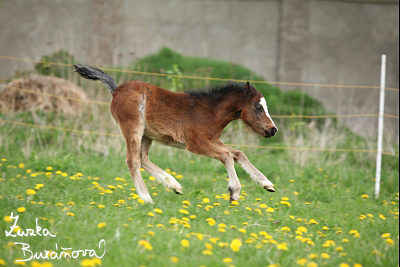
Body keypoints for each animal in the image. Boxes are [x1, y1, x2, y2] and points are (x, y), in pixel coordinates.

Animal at [73, 65, 276, 203]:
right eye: (258, 107)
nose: (273, 130)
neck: (210, 111)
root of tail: (116, 89)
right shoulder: (196, 143)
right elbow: (227, 156)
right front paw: (234, 192)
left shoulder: (213, 140)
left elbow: (238, 153)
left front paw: (266, 183)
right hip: (133, 127)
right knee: (133, 160)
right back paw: (147, 198)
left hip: (147, 135)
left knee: (143, 158)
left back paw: (173, 185)